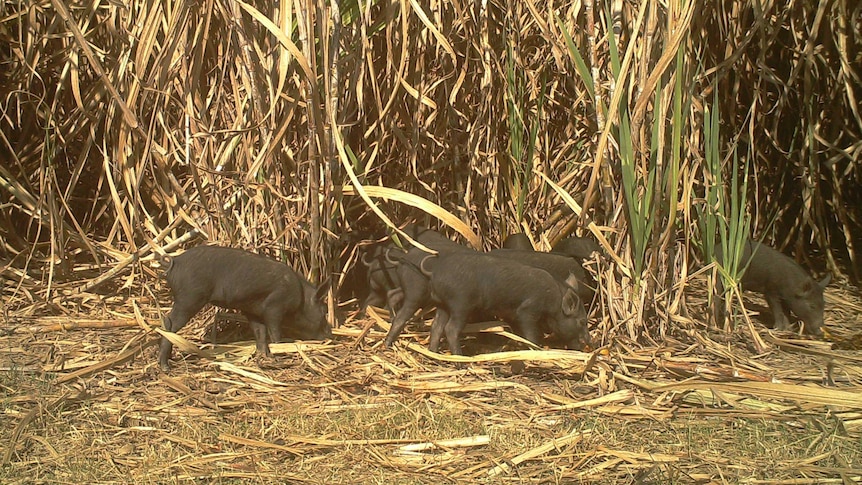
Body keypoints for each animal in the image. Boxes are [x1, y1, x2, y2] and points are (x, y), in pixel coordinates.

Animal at [157, 246, 332, 370]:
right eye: (324, 311)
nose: (330, 334)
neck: (301, 297)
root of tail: (175, 261)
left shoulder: (252, 310)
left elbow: (260, 332)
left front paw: (264, 355)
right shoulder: (274, 307)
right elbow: (275, 331)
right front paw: (279, 352)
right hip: (189, 297)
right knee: (169, 322)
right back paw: (165, 367)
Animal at [426, 251, 592, 354]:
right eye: (582, 321)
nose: (589, 342)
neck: (554, 300)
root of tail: (435, 273)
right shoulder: (527, 310)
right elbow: (531, 332)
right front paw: (536, 348)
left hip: (443, 305)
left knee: (436, 326)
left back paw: (433, 352)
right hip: (461, 304)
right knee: (450, 328)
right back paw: (460, 358)